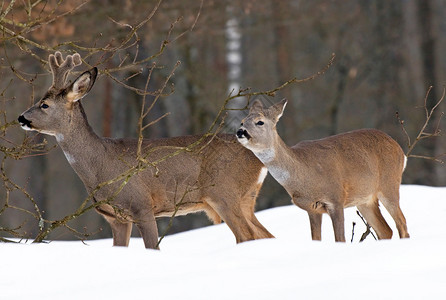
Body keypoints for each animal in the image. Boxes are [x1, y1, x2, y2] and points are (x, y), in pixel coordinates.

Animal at [17, 51, 274, 248]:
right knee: (265, 235)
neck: (101, 165)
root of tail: (259, 158)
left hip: (223, 192)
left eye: (44, 104)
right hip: (245, 198)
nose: (21, 118)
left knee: (247, 236)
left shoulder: (142, 206)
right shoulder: (116, 218)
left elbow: (153, 247)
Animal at [237, 99, 412, 243]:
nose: (240, 132)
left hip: (389, 184)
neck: (304, 175)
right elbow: (316, 239)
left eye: (260, 122)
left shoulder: (336, 199)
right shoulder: (312, 208)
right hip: (364, 199)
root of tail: (400, 151)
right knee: (386, 230)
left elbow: (340, 239)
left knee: (402, 223)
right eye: (242, 122)